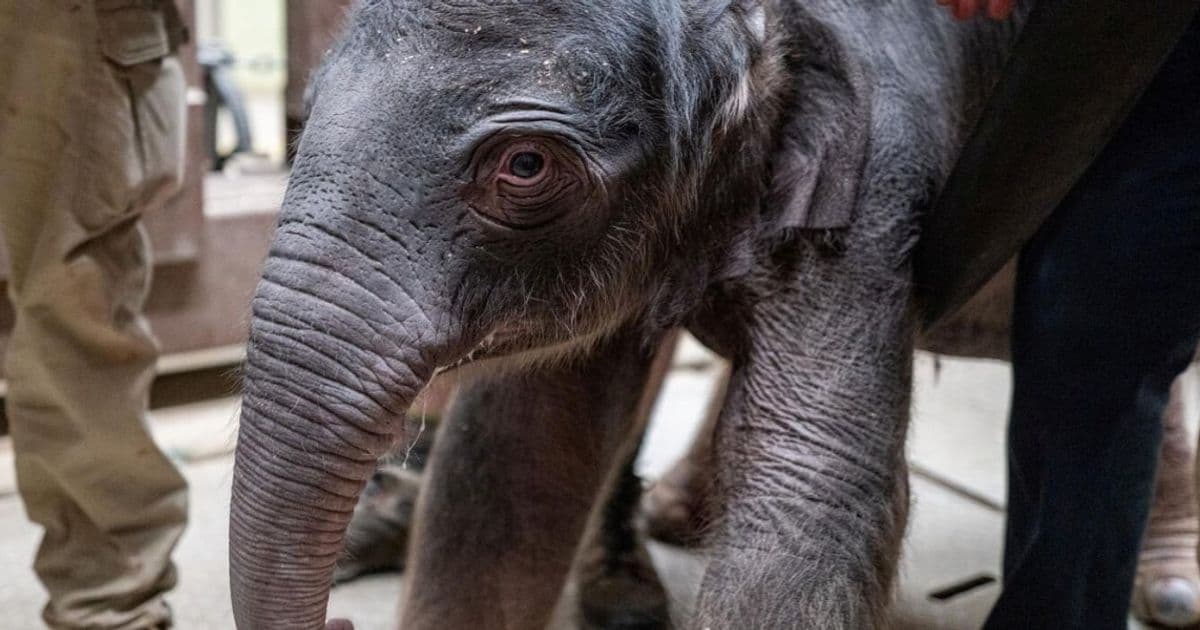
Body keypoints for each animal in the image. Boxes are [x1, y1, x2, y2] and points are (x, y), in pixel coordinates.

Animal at [227, 0, 1027, 628]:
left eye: (525, 165)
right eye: (307, 109)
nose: (339, 618)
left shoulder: (871, 189)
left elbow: (809, 485)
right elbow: (515, 456)